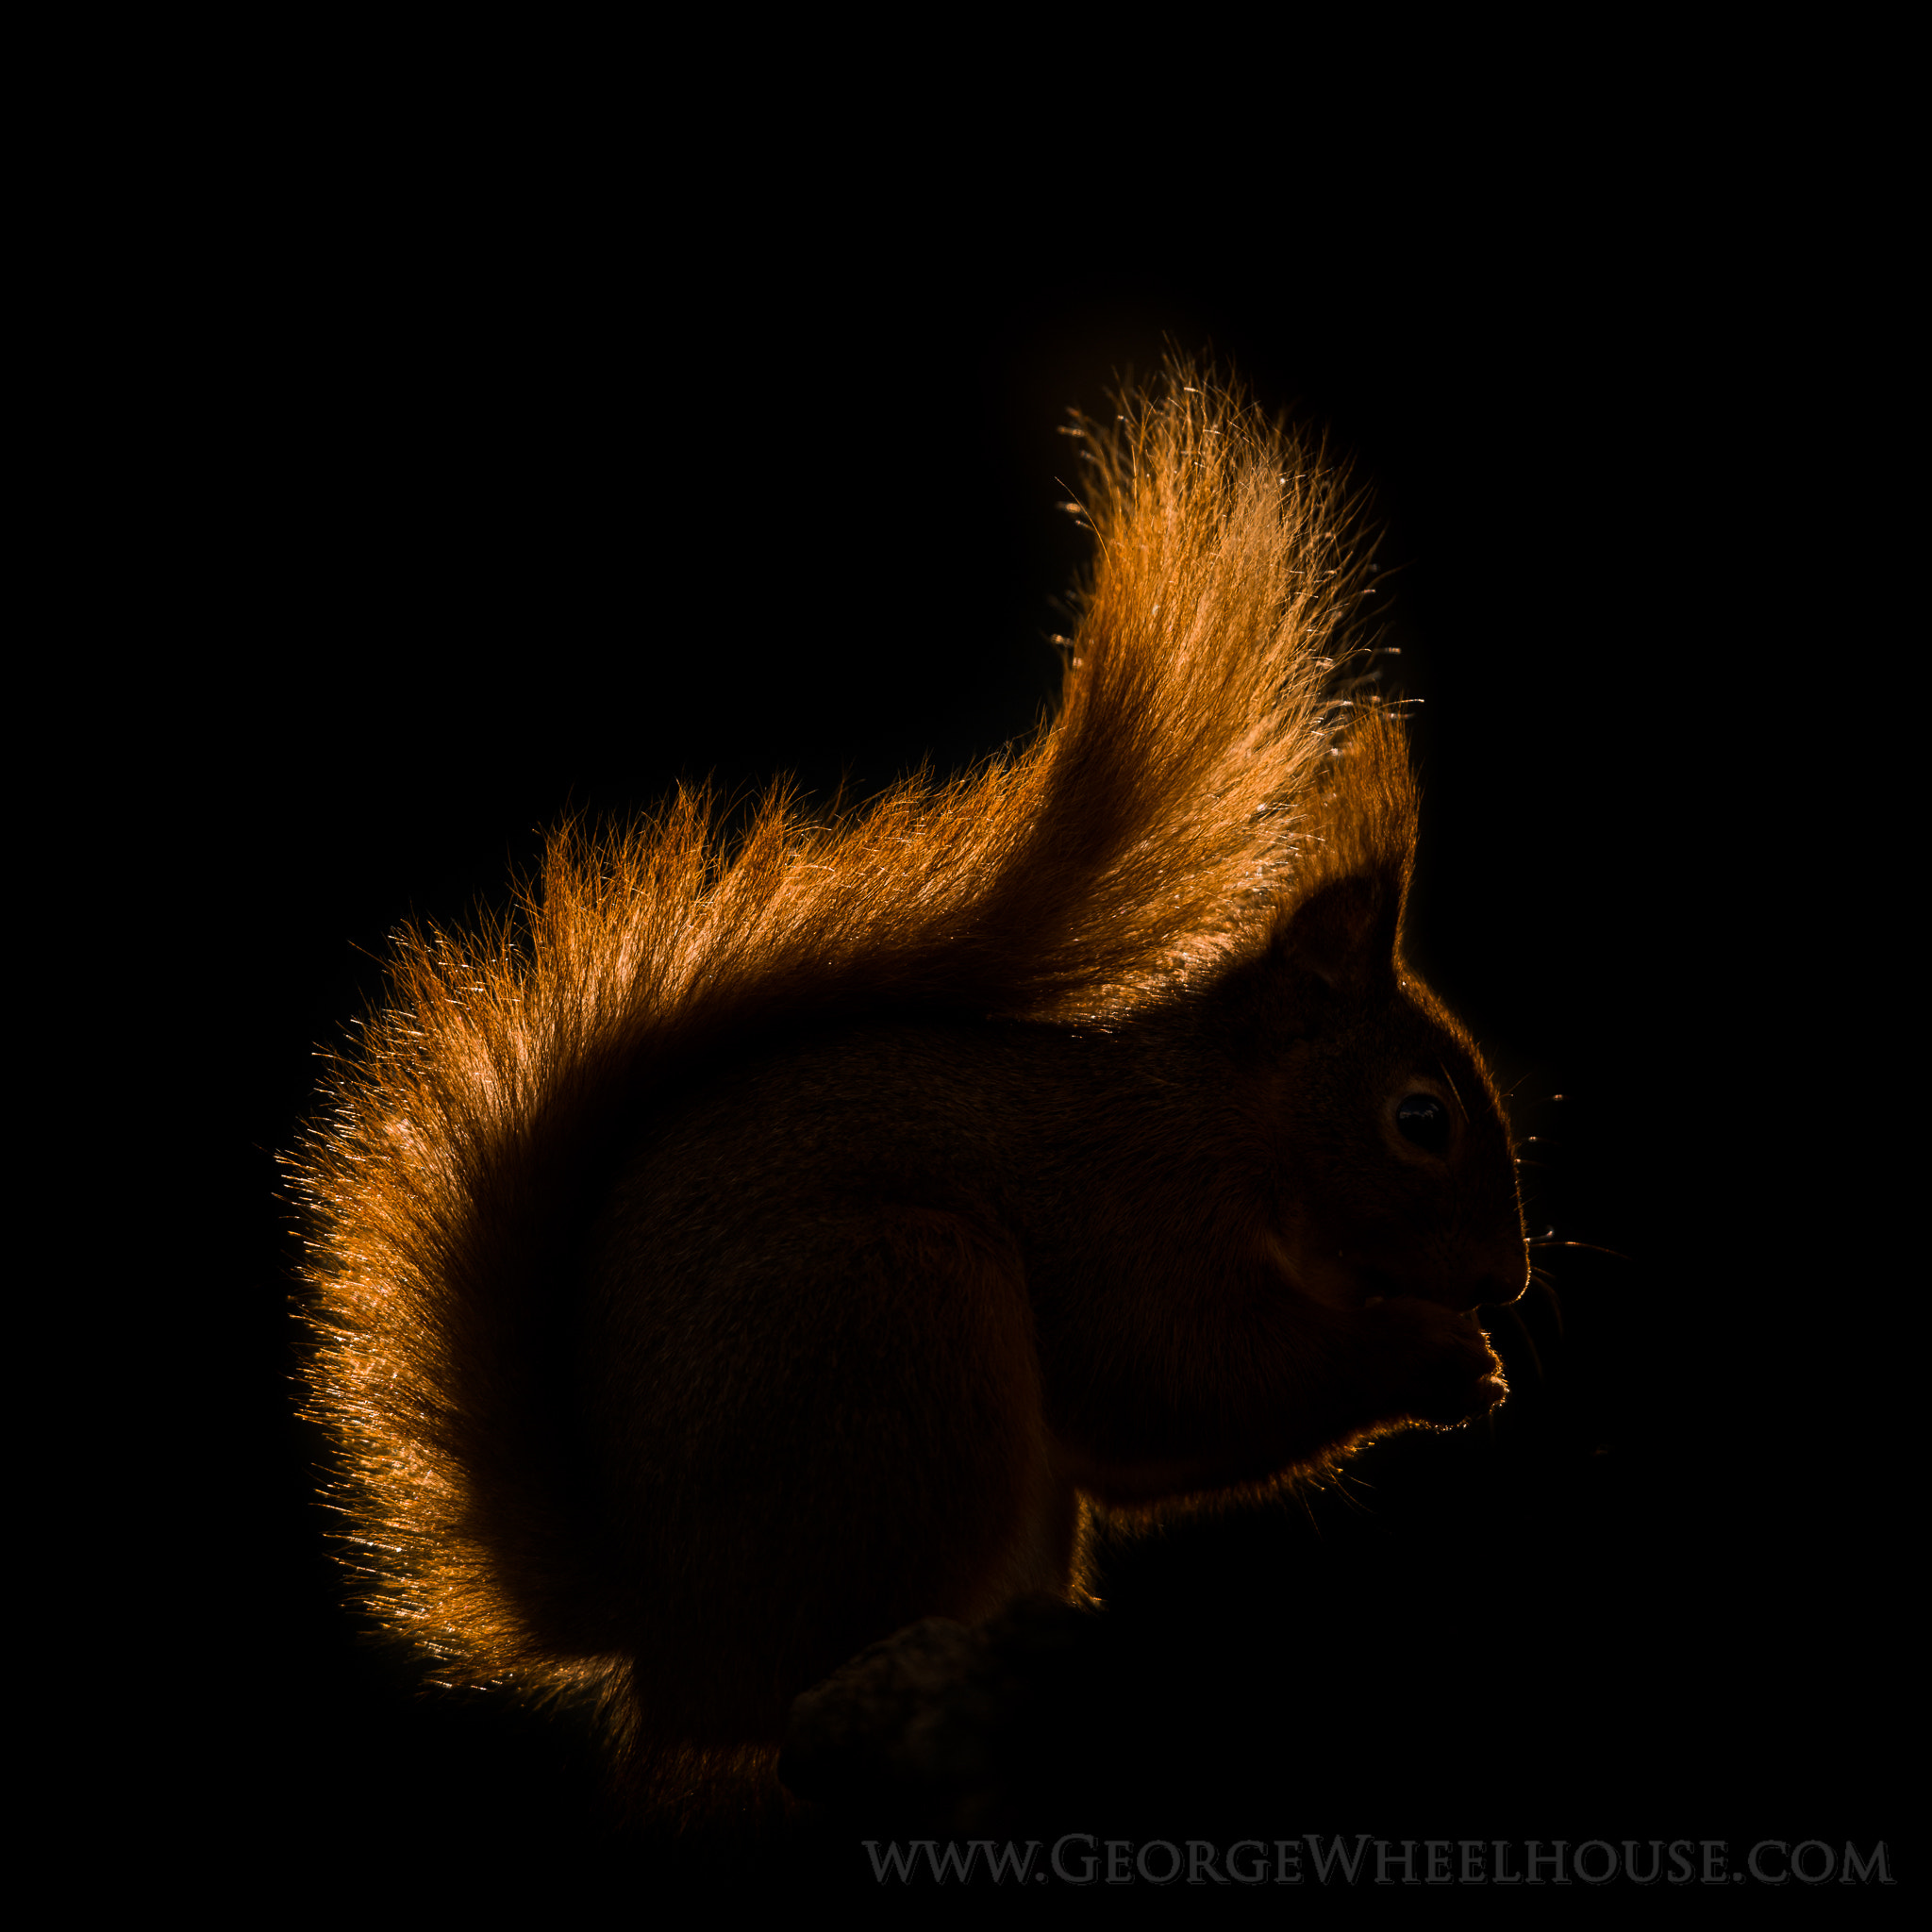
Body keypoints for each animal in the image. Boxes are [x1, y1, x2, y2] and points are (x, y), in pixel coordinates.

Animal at [291, 367, 1528, 1820]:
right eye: (1420, 1119)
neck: (1230, 1130)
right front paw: (1433, 1356)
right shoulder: (1130, 1222)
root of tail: (660, 1633)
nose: (1506, 1280)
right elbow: (1187, 1378)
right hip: (897, 1324)